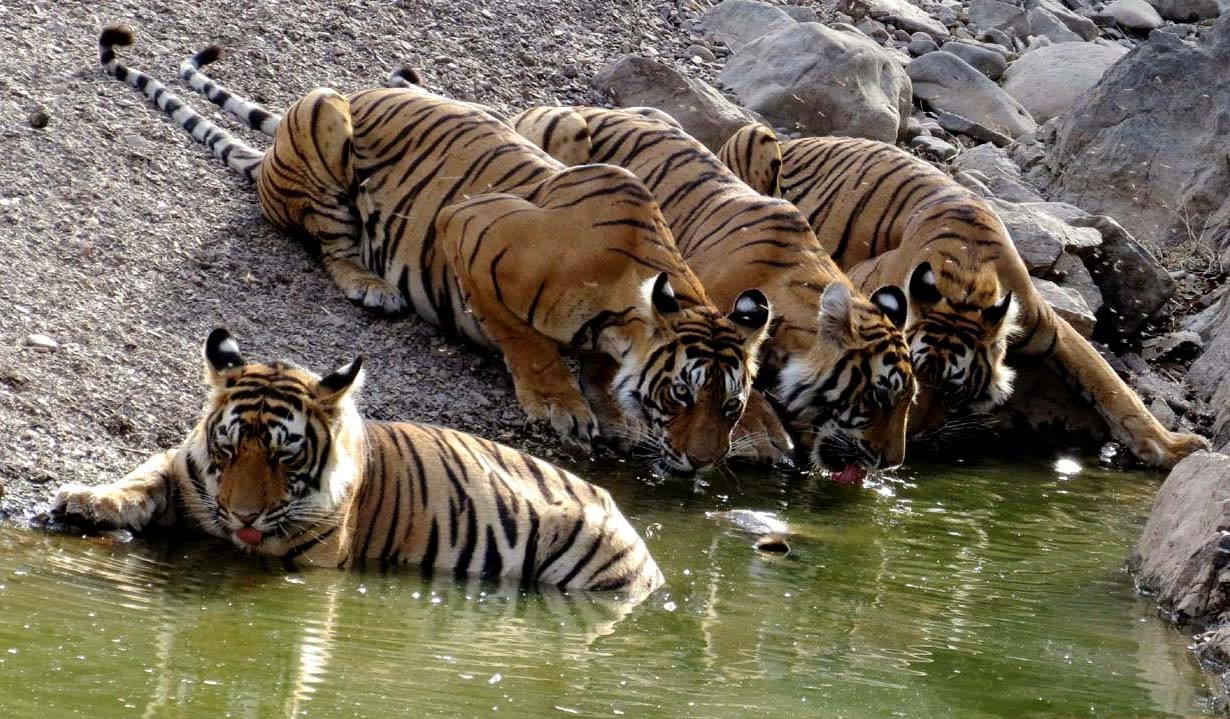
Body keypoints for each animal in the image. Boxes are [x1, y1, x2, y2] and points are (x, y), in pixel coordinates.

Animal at [50, 326, 664, 592]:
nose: (244, 515)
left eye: (285, 455)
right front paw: (87, 500)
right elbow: (141, 477)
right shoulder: (185, 471)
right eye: (230, 447)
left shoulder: (308, 556)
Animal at [98, 26, 767, 476]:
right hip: (324, 114)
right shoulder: (468, 227)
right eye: (682, 395)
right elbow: (526, 343)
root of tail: (269, 159)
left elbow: (602, 373)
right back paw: (371, 285)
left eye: (731, 406)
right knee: (329, 241)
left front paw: (614, 414)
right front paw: (558, 404)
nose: (703, 463)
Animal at [718, 125, 1205, 467]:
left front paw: (1172, 447)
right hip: (755, 139)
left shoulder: (1051, 330)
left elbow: (1114, 390)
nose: (911, 439)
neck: (965, 284)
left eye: (954, 390)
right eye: (913, 380)